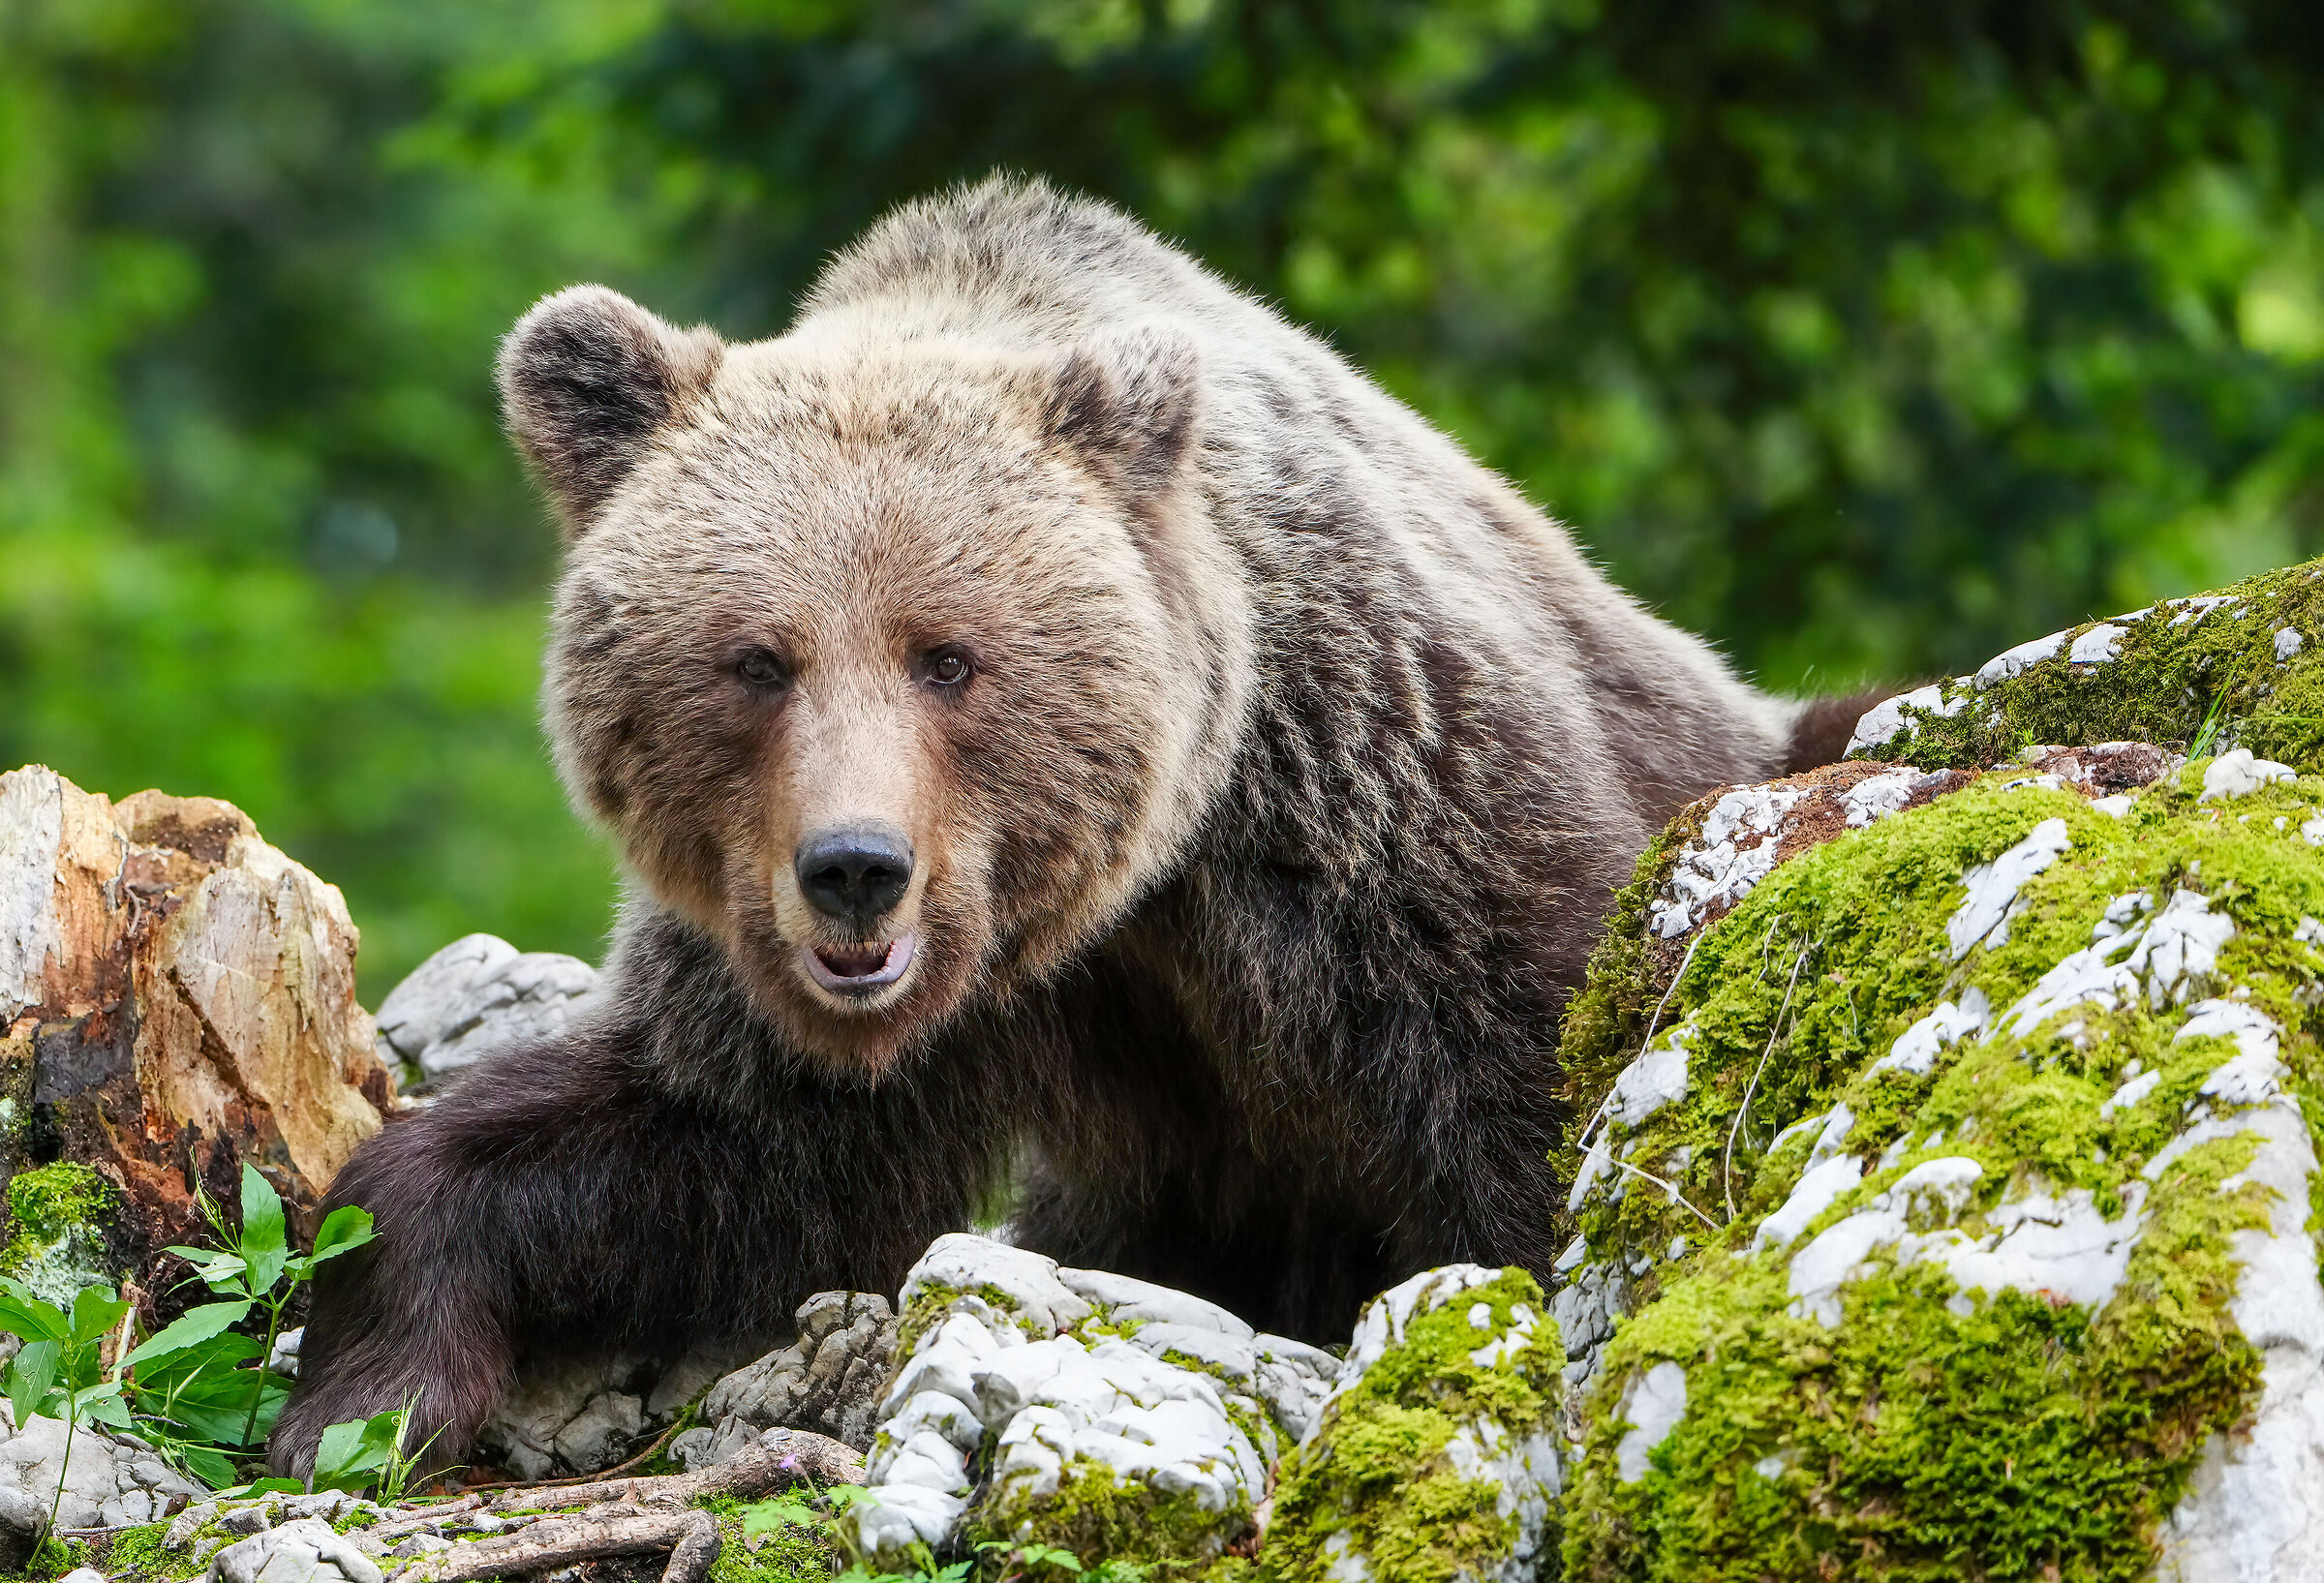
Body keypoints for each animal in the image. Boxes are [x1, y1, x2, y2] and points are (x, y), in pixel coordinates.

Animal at [273, 175, 1873, 1475]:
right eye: (757, 659)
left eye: (947, 656)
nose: (855, 870)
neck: (1113, 894)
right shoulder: (805, 989)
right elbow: (704, 1133)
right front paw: (370, 1380)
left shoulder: (1379, 799)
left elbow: (1538, 1085)